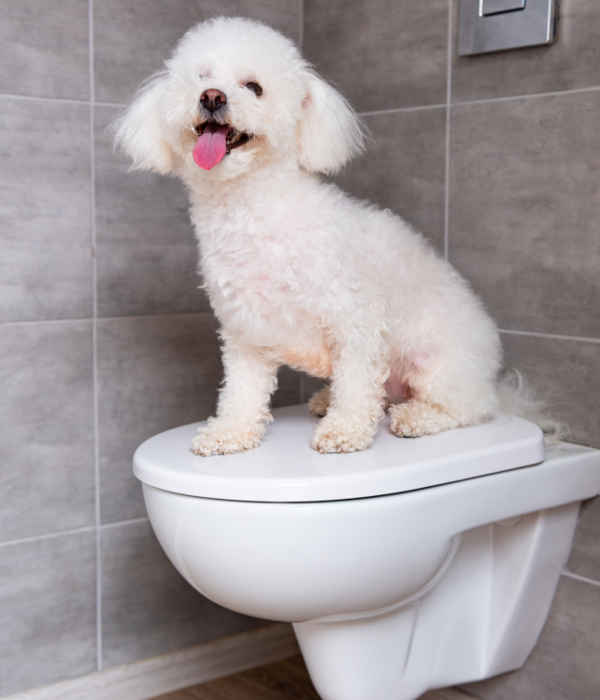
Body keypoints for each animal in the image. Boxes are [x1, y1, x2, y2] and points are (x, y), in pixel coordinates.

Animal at [115, 17, 504, 454]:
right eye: (201, 78)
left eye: (253, 87)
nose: (212, 97)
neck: (254, 211)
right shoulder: (245, 332)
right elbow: (240, 392)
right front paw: (229, 431)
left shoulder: (355, 320)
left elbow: (356, 386)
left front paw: (345, 430)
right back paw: (323, 400)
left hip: (438, 366)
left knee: (466, 409)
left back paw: (416, 417)